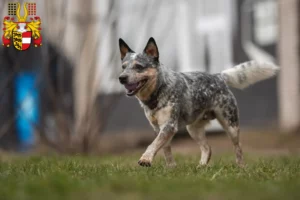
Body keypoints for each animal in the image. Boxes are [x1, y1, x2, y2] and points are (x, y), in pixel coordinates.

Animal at [118, 36, 278, 167]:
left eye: (139, 66)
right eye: (123, 67)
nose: (121, 78)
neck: (157, 91)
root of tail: (218, 76)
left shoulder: (169, 125)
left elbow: (153, 144)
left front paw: (145, 159)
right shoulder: (158, 128)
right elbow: (164, 148)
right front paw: (171, 167)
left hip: (231, 125)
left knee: (238, 147)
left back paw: (241, 167)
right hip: (193, 129)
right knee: (208, 148)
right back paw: (201, 167)